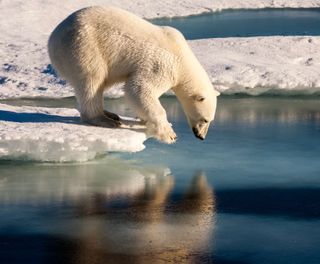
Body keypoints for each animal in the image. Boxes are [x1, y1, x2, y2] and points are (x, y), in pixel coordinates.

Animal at [48, 6, 220, 143]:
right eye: (205, 119)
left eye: (210, 120)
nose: (201, 136)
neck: (182, 57)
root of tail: (53, 39)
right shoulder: (162, 64)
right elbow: (139, 88)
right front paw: (170, 134)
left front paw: (143, 119)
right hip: (84, 47)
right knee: (92, 79)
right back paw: (104, 120)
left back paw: (111, 114)